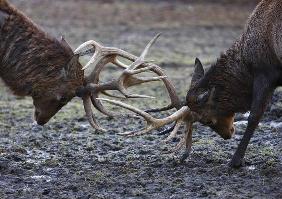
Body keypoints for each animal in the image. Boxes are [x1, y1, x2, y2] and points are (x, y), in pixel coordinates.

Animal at [96, 0, 280, 167]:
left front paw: (235, 161)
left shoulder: (265, 72)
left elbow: (254, 116)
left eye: (207, 120)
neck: (247, 65)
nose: (229, 134)